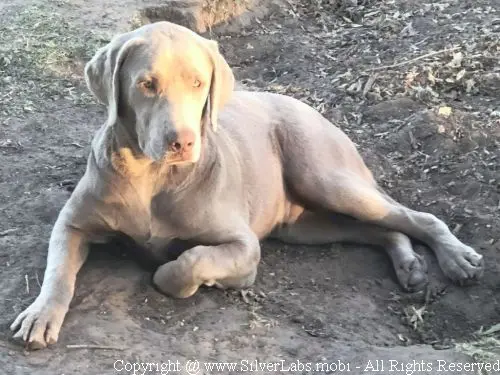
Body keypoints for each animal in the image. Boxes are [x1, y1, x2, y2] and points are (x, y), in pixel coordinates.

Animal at [9, 22, 482, 352]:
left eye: (198, 82)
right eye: (146, 84)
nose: (181, 142)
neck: (154, 177)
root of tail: (309, 106)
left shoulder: (243, 244)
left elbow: (188, 263)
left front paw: (194, 277)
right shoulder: (72, 224)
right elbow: (58, 271)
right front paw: (39, 315)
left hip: (322, 173)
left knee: (413, 216)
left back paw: (457, 258)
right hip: (305, 224)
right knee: (383, 227)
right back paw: (409, 264)